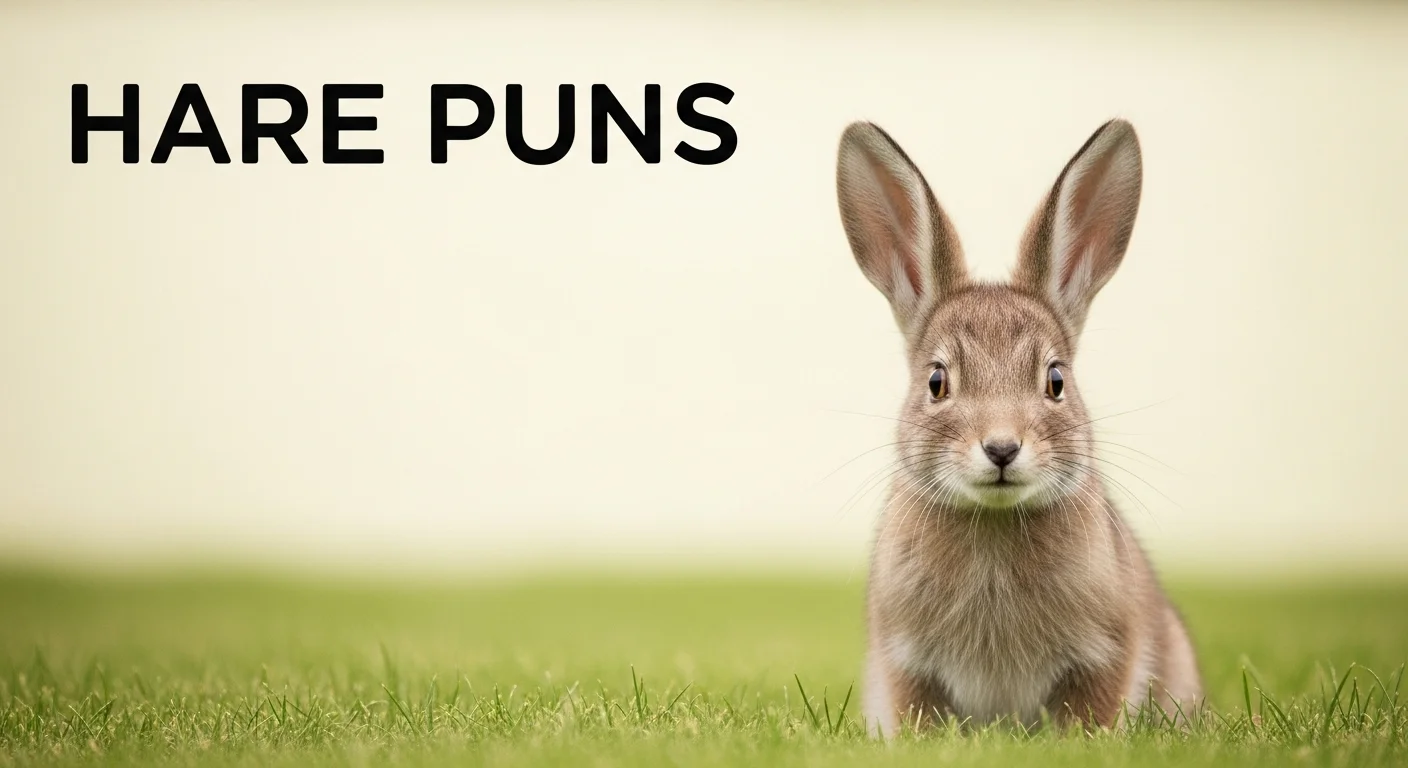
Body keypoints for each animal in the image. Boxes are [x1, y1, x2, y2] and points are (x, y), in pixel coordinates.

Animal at [834, 118, 1202, 735]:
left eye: (1055, 380)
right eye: (937, 382)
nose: (1002, 448)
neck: (995, 520)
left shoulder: (1106, 652)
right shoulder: (905, 662)